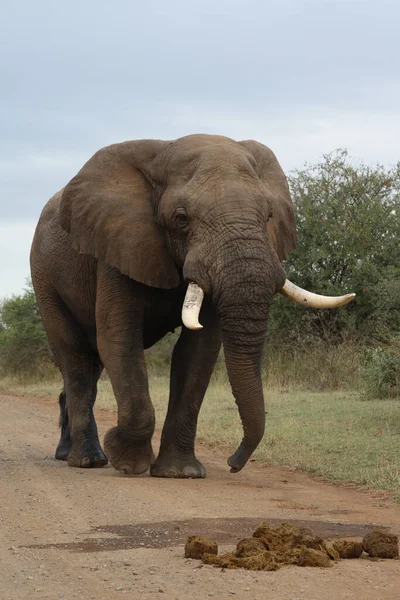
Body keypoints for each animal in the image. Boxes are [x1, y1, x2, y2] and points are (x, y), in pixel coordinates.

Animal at [29, 135, 354, 478]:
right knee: (75, 357)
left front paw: (180, 472)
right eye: (181, 219)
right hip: (43, 276)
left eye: (268, 216)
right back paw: (87, 460)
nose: (233, 464)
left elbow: (198, 350)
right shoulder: (117, 246)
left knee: (90, 365)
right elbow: (119, 340)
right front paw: (128, 461)